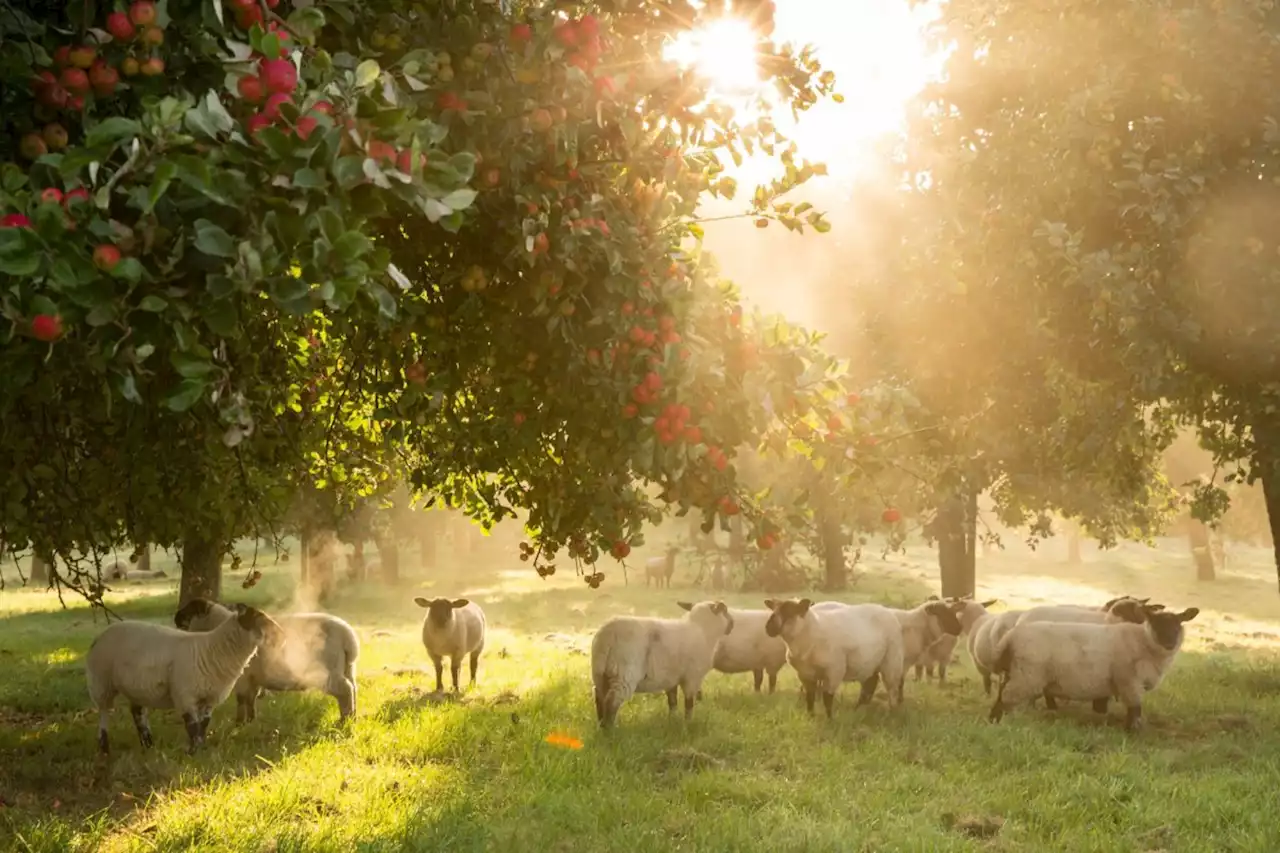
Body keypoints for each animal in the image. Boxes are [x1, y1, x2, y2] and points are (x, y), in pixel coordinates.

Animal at [87, 596, 282, 753]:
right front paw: (193, 752)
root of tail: (100, 635)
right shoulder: (185, 695)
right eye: (259, 618)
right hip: (101, 682)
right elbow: (192, 725)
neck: (212, 649)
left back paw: (148, 744)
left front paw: (201, 748)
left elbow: (203, 724)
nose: (282, 635)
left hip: (136, 686)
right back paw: (104, 747)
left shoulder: (209, 698)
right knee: (104, 713)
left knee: (137, 712)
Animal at [170, 594, 360, 722]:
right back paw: (353, 715)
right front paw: (250, 722)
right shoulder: (253, 679)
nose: (175, 617)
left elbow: (241, 700)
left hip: (328, 672)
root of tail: (348, 636)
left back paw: (344, 718)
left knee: (345, 689)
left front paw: (239, 723)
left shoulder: (243, 678)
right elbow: (250, 700)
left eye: (189, 609)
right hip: (347, 668)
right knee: (353, 688)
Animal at [588, 596, 732, 722]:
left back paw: (601, 725)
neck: (703, 631)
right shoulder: (692, 678)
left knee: (599, 696)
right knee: (611, 701)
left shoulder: (671, 679)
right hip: (624, 674)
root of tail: (606, 633)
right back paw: (610, 730)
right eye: (725, 611)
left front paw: (673, 720)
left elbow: (672, 701)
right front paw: (688, 723)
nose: (732, 624)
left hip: (600, 673)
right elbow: (689, 703)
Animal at [762, 596, 906, 717]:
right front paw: (810, 715)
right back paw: (858, 709)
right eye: (774, 608)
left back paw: (892, 712)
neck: (810, 634)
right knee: (870, 682)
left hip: (892, 660)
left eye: (790, 610)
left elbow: (827, 698)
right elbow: (810, 696)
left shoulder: (834, 670)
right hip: (869, 663)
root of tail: (888, 611)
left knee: (892, 687)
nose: (769, 627)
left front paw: (829, 719)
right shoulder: (804, 673)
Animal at [988, 601, 1198, 727]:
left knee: (1001, 694)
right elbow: (1135, 710)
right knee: (1005, 698)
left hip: (1015, 672)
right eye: (1156, 623)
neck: (1143, 641)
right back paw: (997, 722)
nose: (1170, 642)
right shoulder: (1129, 681)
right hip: (1026, 676)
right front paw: (1133, 731)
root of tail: (1011, 635)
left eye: (1178, 625)